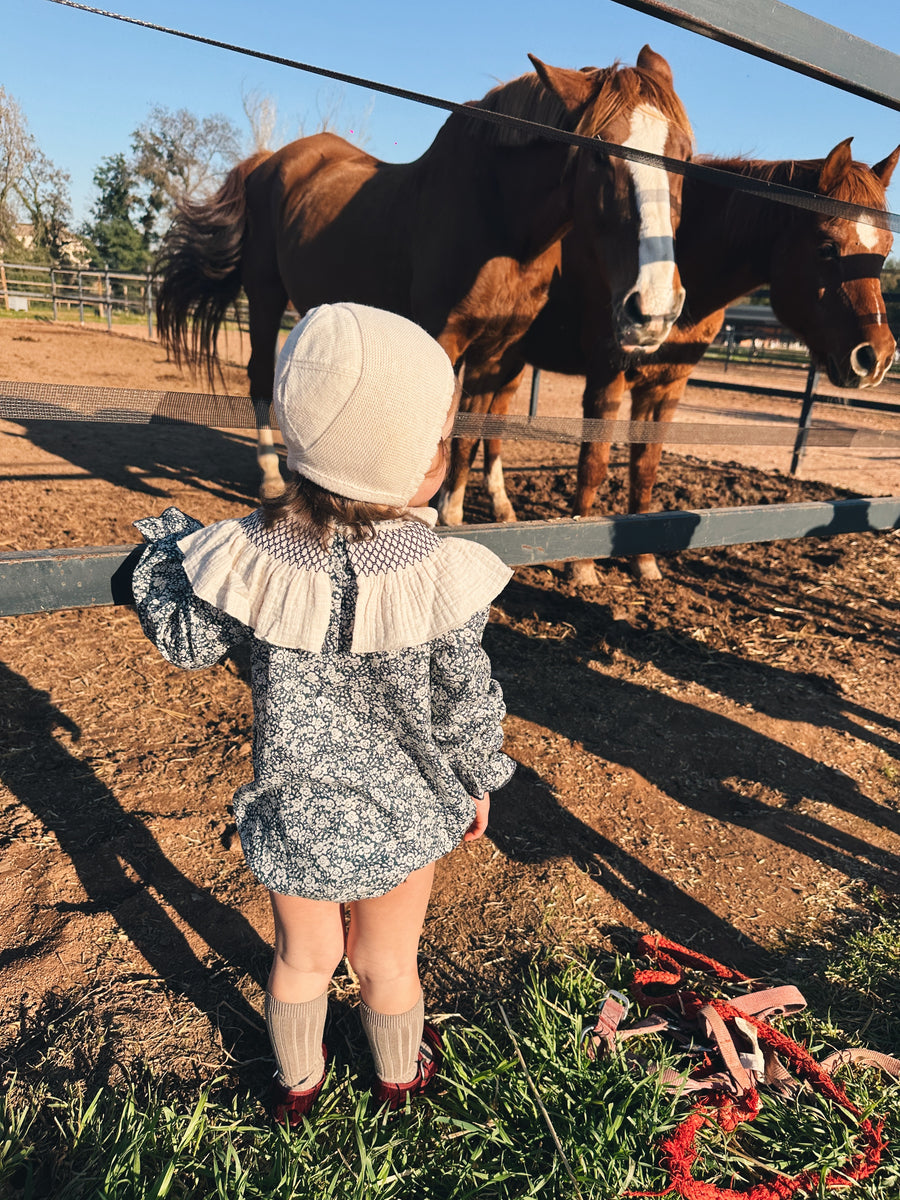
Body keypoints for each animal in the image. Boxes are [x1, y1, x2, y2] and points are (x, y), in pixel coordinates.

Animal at [154, 48, 696, 496]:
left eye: (686, 157)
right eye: (601, 152)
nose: (653, 309)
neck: (501, 223)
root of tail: (269, 160)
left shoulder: (495, 353)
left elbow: (469, 437)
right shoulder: (444, 337)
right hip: (265, 297)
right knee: (260, 377)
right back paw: (271, 474)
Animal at [446, 138, 900, 578]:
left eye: (884, 251)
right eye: (827, 247)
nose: (875, 357)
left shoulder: (667, 385)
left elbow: (645, 468)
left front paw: (643, 560)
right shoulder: (607, 378)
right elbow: (593, 465)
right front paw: (581, 566)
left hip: (511, 359)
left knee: (492, 424)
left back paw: (502, 508)